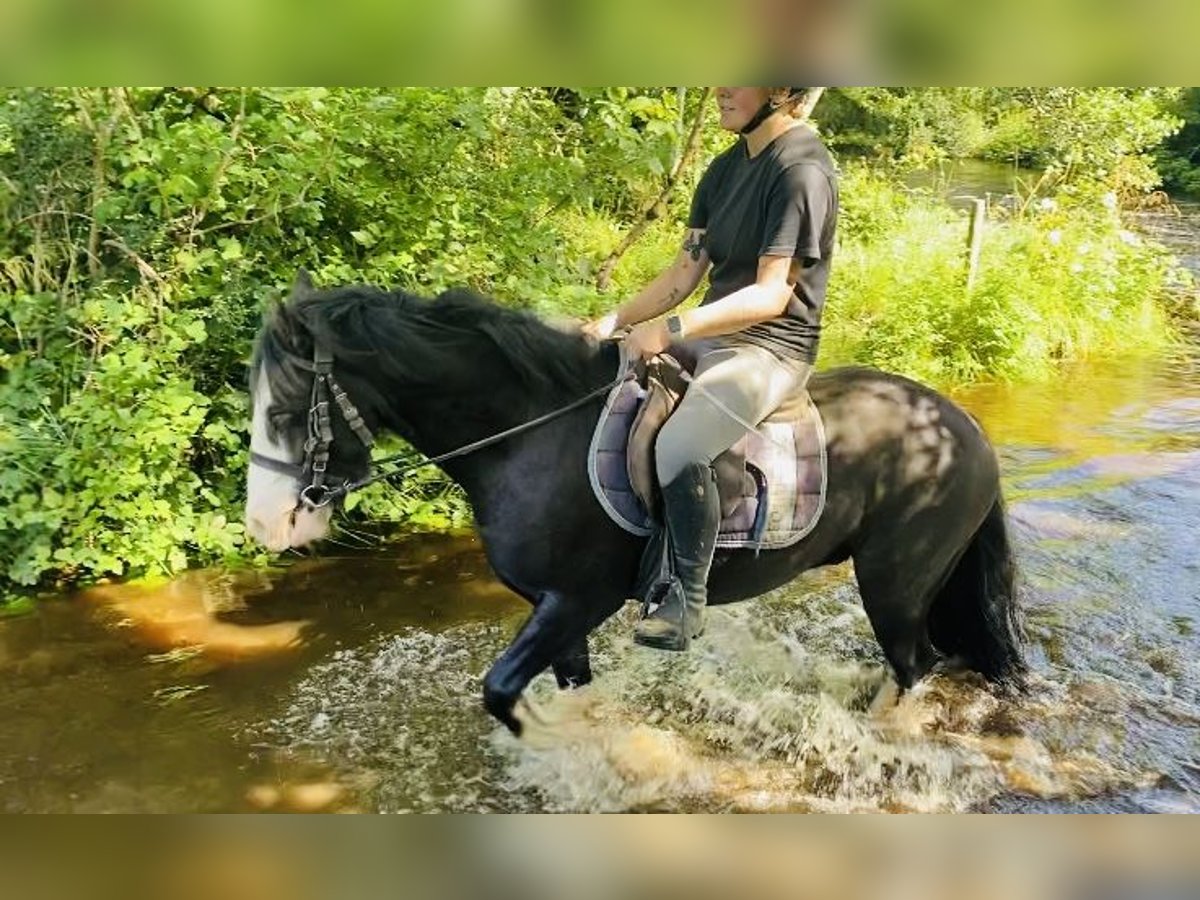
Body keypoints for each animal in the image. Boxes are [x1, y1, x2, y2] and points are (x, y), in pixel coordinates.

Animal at [243, 280, 1022, 734]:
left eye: (282, 411)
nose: (263, 525)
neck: (530, 435)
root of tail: (962, 428)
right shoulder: (556, 610)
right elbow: (568, 691)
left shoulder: (577, 600)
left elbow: (499, 691)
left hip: (894, 584)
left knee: (916, 665)